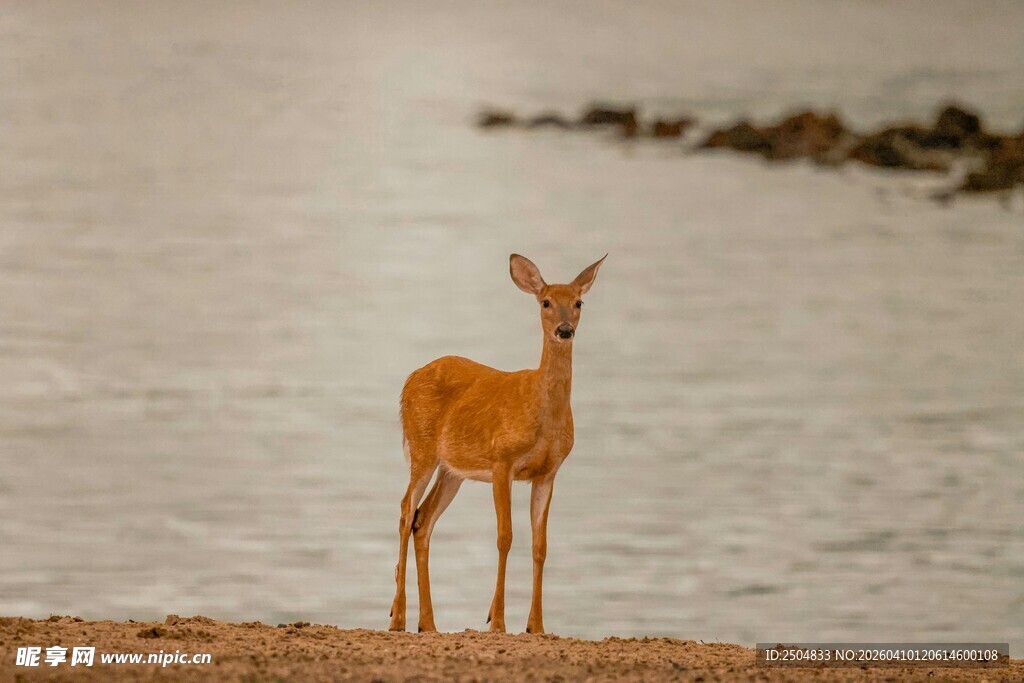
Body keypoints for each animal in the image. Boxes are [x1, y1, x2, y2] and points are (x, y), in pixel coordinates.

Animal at [387, 253, 606, 635]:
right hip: (421, 448)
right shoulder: (502, 461)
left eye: (578, 302)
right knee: (404, 511)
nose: (564, 330)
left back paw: (428, 623)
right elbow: (505, 536)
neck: (541, 412)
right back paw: (398, 618)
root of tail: (409, 379)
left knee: (422, 520)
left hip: (452, 470)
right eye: (546, 302)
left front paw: (537, 626)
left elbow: (540, 545)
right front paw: (497, 622)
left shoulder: (548, 473)